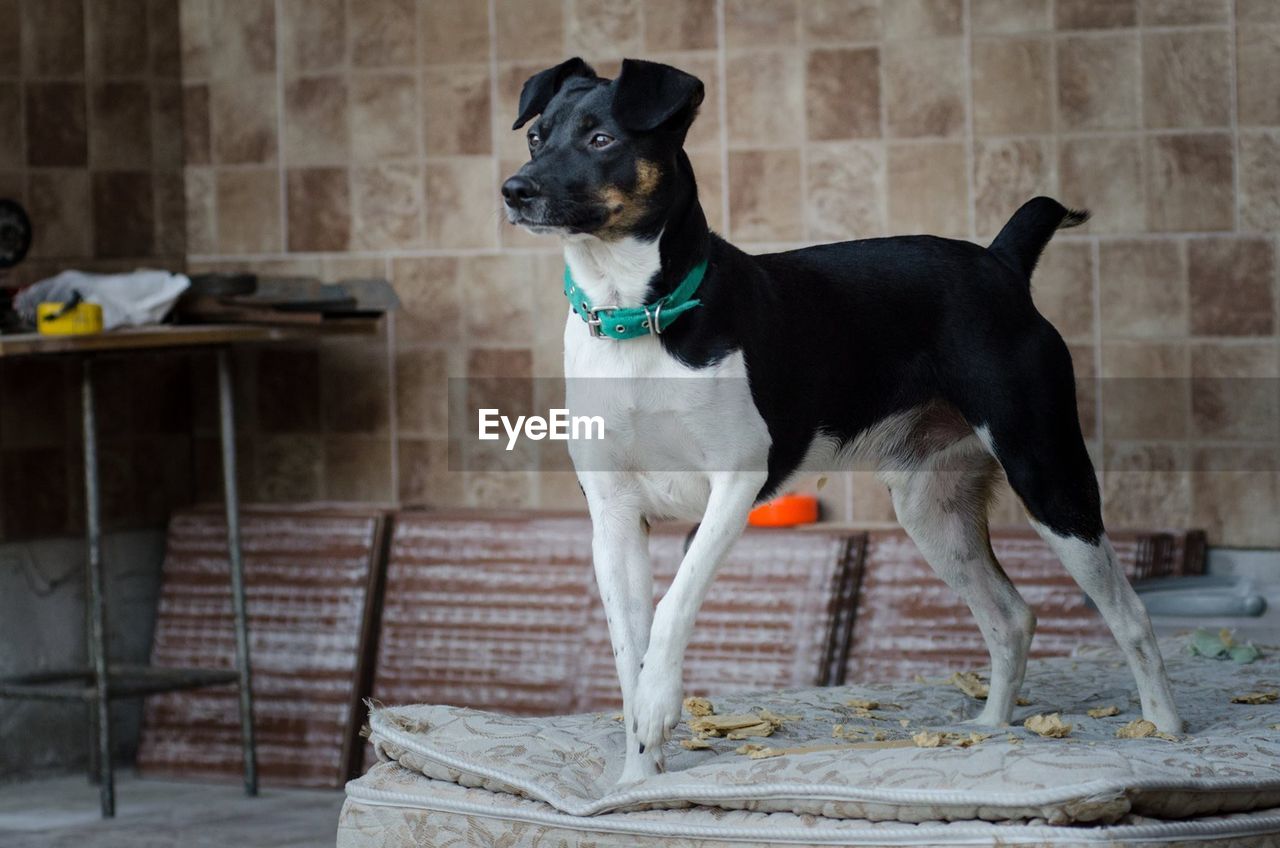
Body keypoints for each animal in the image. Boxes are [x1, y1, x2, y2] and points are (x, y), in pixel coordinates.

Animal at [499, 58, 1177, 789]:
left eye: (601, 140)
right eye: (536, 135)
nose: (514, 190)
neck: (635, 319)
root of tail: (1000, 262)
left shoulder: (735, 485)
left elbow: (674, 607)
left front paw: (658, 706)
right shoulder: (614, 517)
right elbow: (630, 653)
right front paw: (635, 779)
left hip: (1048, 474)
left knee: (1131, 614)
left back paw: (1167, 730)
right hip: (931, 509)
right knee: (1010, 617)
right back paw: (991, 728)